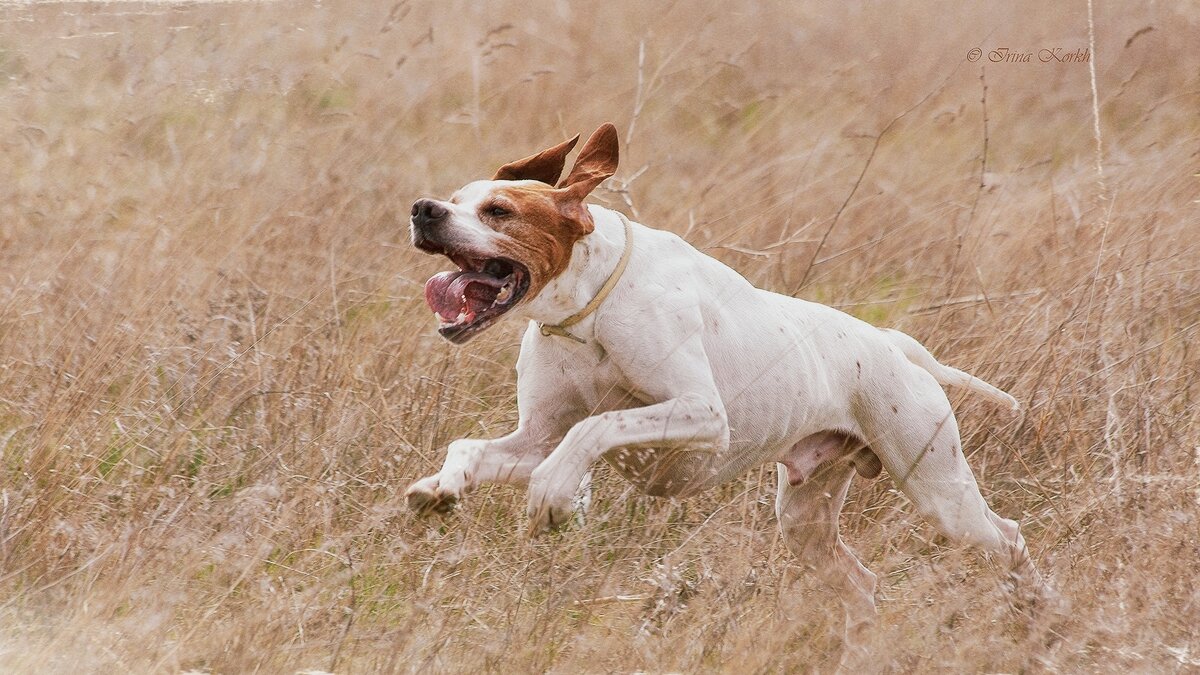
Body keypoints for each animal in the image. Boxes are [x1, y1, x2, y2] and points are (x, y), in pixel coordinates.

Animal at [403, 123, 1041, 653]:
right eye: (456, 198)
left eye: (498, 210)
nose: (423, 208)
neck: (586, 311)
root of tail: (893, 344)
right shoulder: (535, 438)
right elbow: (472, 447)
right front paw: (440, 489)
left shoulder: (703, 415)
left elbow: (595, 425)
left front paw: (553, 493)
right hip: (806, 521)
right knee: (862, 583)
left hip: (941, 493)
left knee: (1009, 538)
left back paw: (1038, 615)